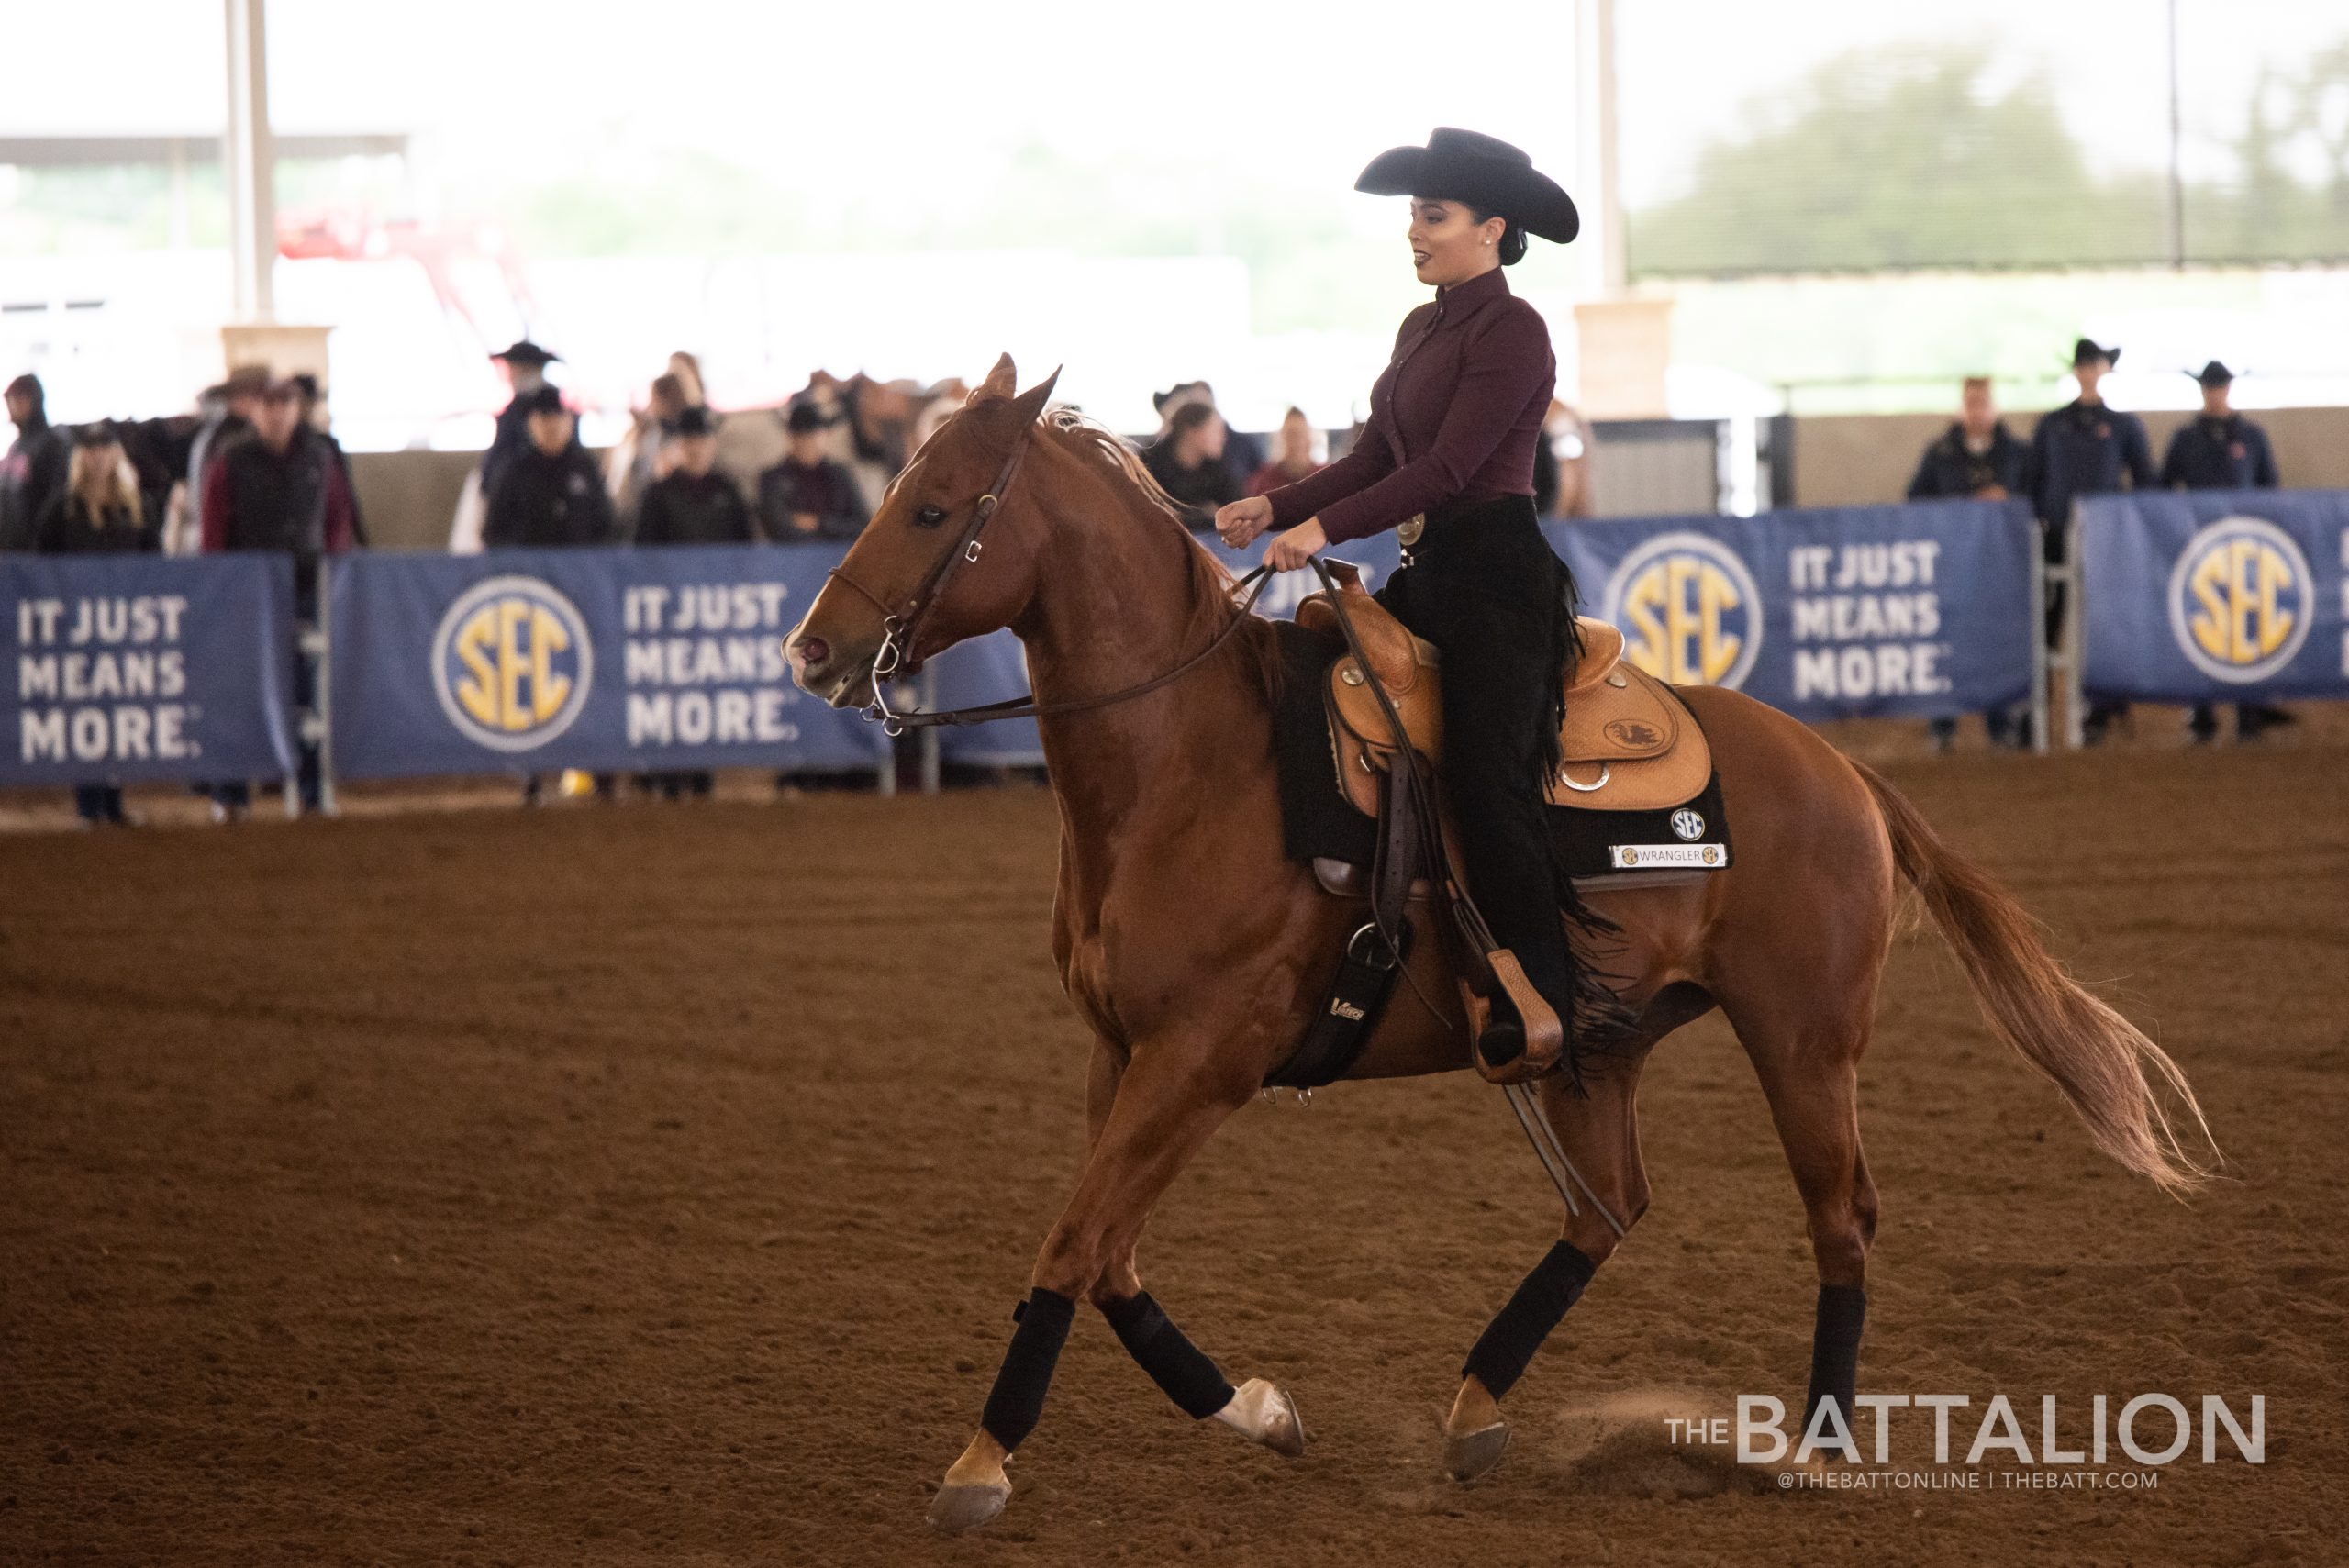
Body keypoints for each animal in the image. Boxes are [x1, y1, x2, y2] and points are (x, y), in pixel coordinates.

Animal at [779, 359, 2208, 1530]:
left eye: (932, 507)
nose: (809, 650)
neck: (1193, 764)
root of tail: (1845, 771)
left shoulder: (1204, 1058)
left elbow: (1072, 1245)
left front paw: (979, 1463)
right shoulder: (1119, 1051)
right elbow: (1112, 1253)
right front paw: (1258, 1410)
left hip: (1803, 1041)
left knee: (1839, 1218)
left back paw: (1811, 1448)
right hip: (1598, 1044)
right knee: (1606, 1207)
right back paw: (1474, 1410)